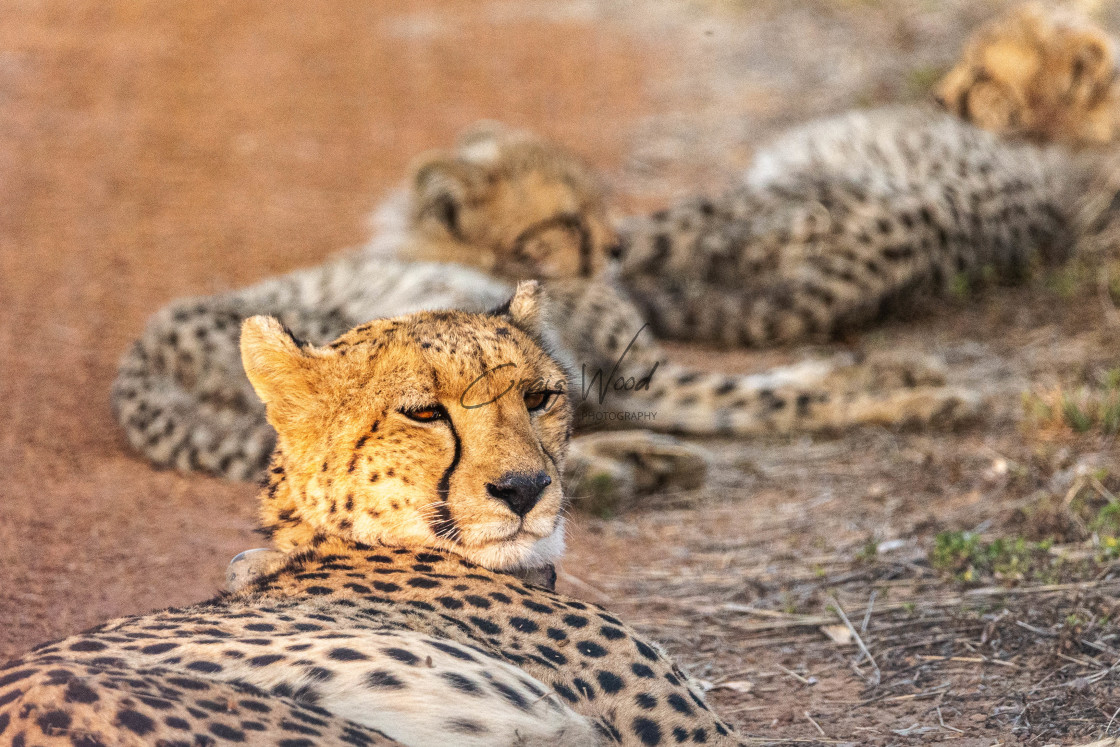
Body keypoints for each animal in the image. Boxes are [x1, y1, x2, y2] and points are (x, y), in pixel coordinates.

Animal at [113, 124, 972, 486]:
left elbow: (777, 381)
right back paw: (626, 467)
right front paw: (922, 399)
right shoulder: (621, 373)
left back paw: (641, 461)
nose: (617, 248)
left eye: (598, 200)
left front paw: (898, 370)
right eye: (565, 219)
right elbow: (775, 398)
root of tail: (143, 353)